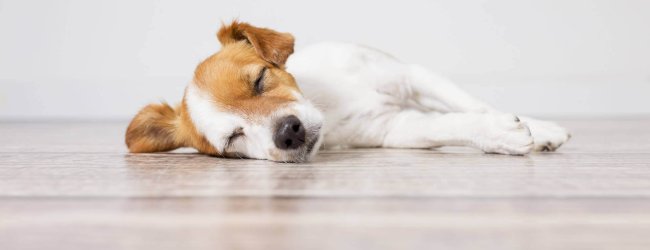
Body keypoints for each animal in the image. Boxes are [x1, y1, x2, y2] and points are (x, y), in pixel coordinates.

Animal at [125, 21, 568, 162]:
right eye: (233, 139)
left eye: (260, 80)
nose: (288, 132)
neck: (328, 102)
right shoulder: (395, 128)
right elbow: (453, 123)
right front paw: (499, 135)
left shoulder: (413, 75)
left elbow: (474, 103)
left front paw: (542, 129)